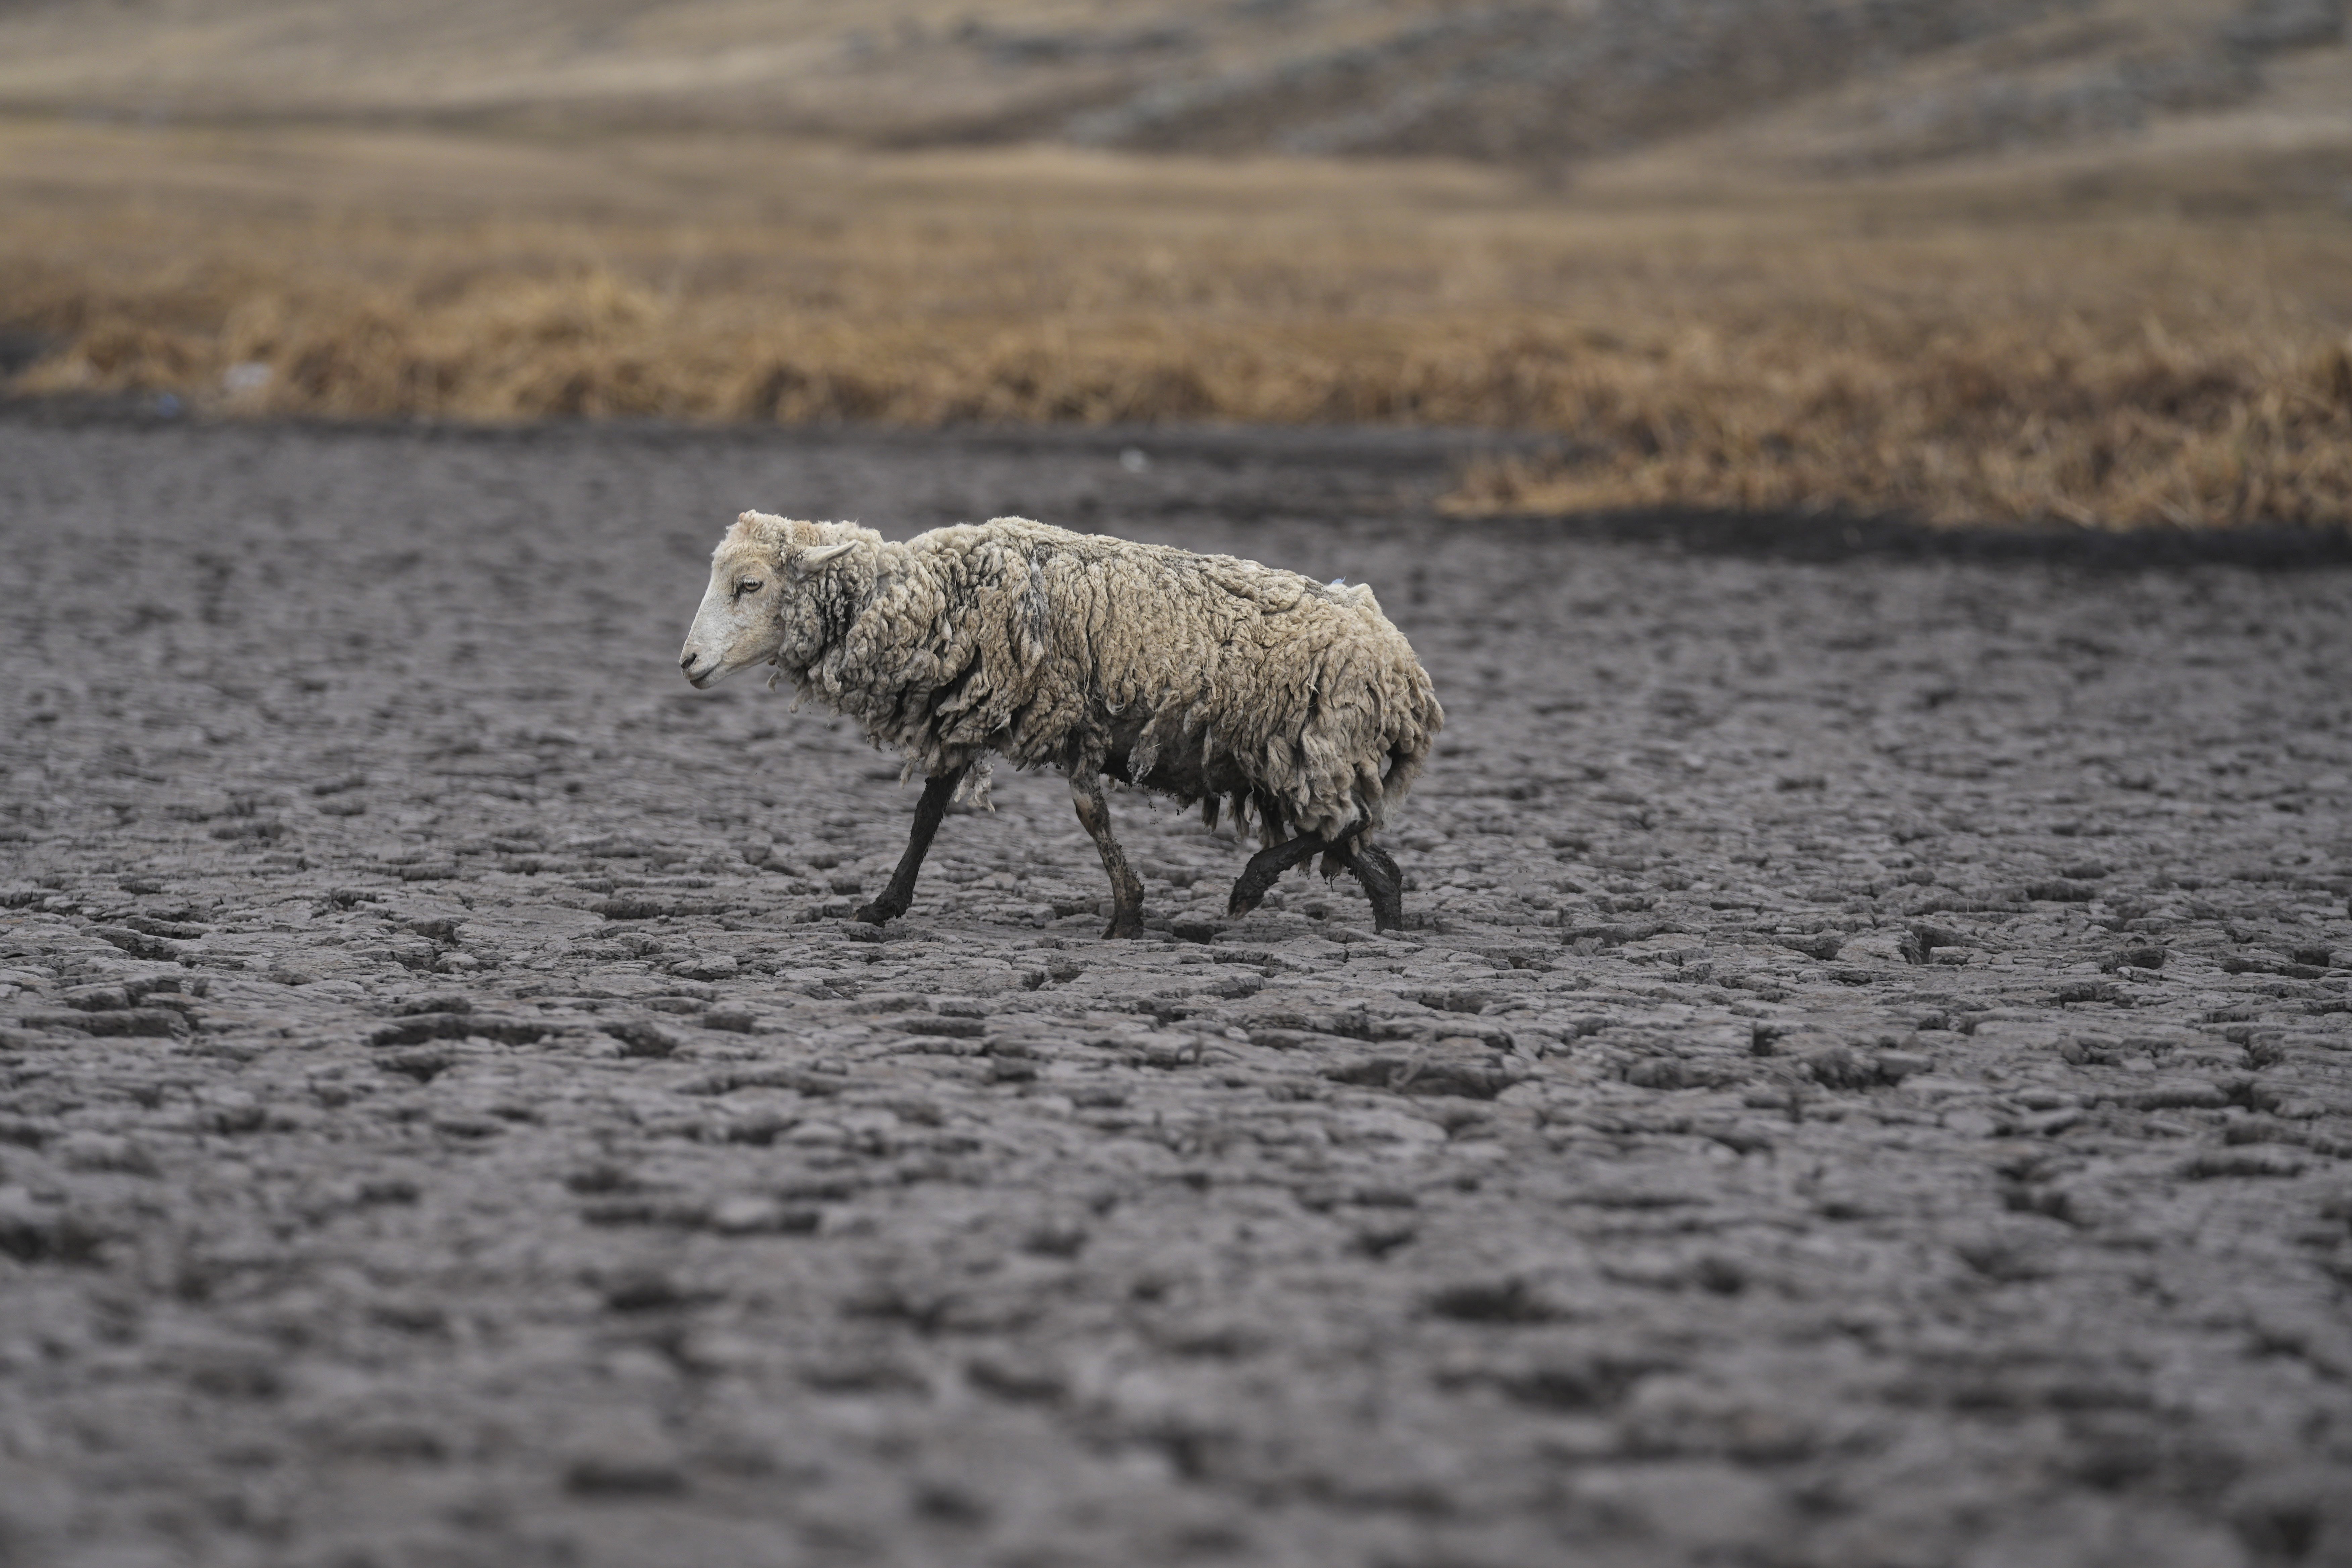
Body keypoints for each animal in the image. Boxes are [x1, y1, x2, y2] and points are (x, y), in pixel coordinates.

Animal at [678, 510, 1442, 937]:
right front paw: (882, 906)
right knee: (1362, 848)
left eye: (750, 584)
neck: (939, 596)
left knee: (1337, 826)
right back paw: (1385, 922)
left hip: (1312, 748)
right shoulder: (969, 711)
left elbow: (1089, 815)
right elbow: (927, 816)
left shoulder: (1069, 716)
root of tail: (1404, 664)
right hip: (1300, 760)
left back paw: (1250, 886)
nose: (687, 663)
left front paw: (1127, 915)